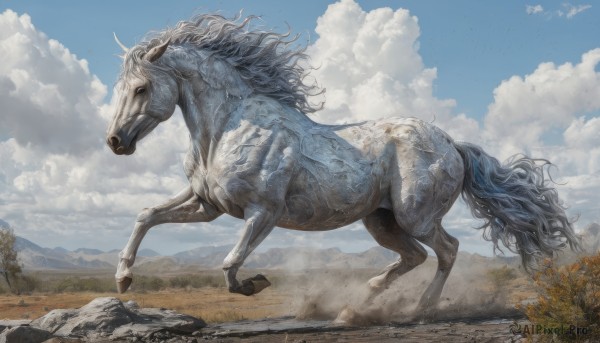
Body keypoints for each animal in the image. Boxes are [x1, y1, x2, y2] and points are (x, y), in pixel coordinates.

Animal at [108, 14, 580, 318]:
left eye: (141, 87)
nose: (115, 141)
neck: (226, 128)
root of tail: (452, 144)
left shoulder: (262, 212)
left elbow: (228, 265)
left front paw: (256, 283)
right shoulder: (208, 205)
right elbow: (146, 215)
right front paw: (123, 279)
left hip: (415, 215)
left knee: (447, 250)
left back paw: (419, 309)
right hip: (381, 220)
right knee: (413, 256)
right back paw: (363, 300)